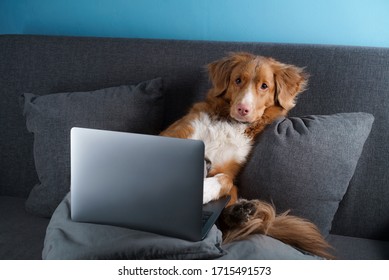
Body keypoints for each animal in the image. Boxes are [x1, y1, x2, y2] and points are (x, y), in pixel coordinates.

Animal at [159, 52, 332, 258]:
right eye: (238, 80)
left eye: (264, 86)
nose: (242, 109)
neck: (230, 122)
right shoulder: (171, 136)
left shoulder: (229, 170)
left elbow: (226, 180)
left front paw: (204, 190)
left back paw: (240, 212)